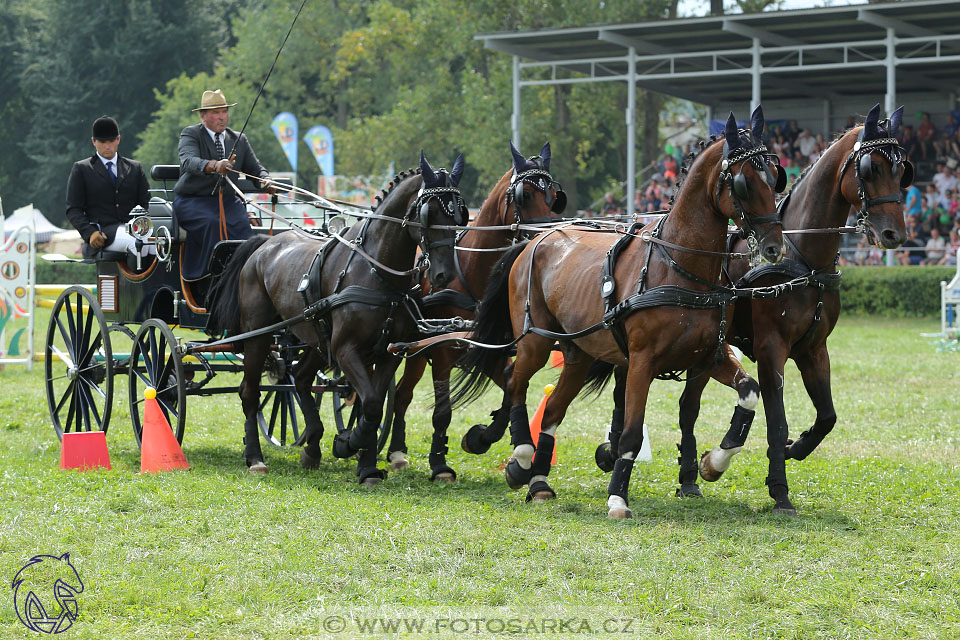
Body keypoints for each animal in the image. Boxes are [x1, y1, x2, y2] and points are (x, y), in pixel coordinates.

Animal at [208, 152, 466, 482]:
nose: (444, 274)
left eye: (460, 215)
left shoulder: (387, 354)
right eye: (428, 212)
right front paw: (348, 443)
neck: (376, 273)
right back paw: (255, 457)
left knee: (301, 379)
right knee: (249, 392)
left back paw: (312, 446)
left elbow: (372, 406)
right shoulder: (345, 350)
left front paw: (366, 464)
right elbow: (370, 404)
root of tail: (262, 244)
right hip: (259, 336)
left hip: (316, 340)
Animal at [386, 140, 568, 480]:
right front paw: (439, 463)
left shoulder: (493, 348)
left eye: (554, 196)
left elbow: (511, 385)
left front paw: (482, 437)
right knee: (401, 395)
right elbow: (442, 412)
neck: (472, 273)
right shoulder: (443, 351)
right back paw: (394, 450)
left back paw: (396, 451)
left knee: (402, 394)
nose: (545, 234)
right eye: (524, 195)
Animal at [454, 107, 784, 516]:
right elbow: (630, 433)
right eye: (743, 184)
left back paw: (540, 481)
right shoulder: (641, 362)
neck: (679, 266)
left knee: (552, 410)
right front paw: (617, 497)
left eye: (774, 176)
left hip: (578, 354)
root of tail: (534, 240)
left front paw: (714, 462)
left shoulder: (710, 355)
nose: (774, 247)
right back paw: (521, 455)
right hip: (535, 342)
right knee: (516, 382)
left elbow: (750, 392)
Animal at [688, 105, 912, 516]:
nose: (894, 235)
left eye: (902, 169)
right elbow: (777, 421)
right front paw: (780, 491)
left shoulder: (813, 349)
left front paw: (797, 449)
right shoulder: (770, 349)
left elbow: (827, 416)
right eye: (871, 168)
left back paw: (692, 478)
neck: (804, 259)